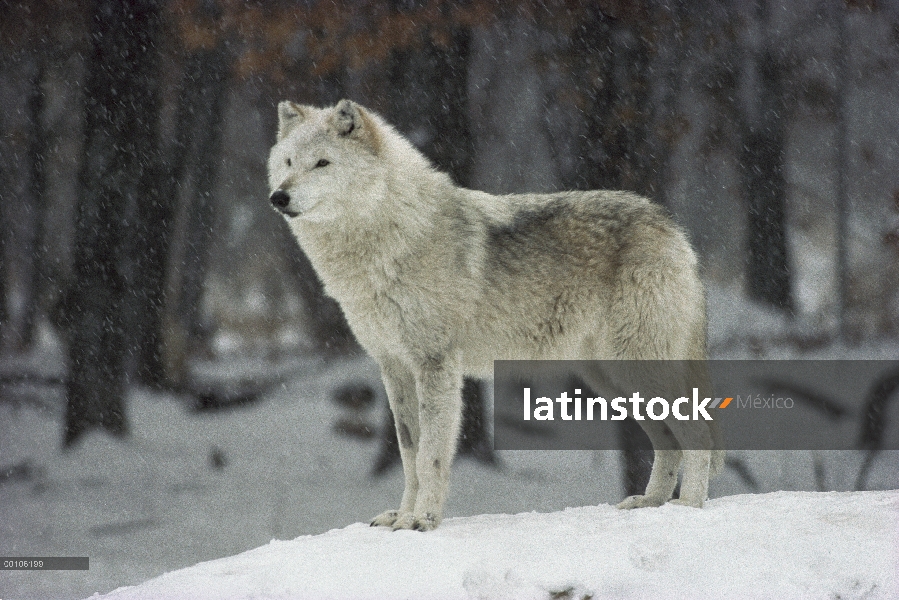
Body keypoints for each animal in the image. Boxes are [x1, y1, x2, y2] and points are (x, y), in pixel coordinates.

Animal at [268, 101, 724, 532]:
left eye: (322, 163)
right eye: (288, 162)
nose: (278, 197)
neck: (389, 239)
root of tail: (671, 226)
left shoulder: (435, 364)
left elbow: (431, 457)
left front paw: (421, 521)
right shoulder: (393, 366)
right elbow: (410, 456)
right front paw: (401, 517)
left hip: (637, 369)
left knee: (697, 433)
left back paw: (688, 508)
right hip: (613, 381)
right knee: (668, 442)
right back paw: (651, 504)